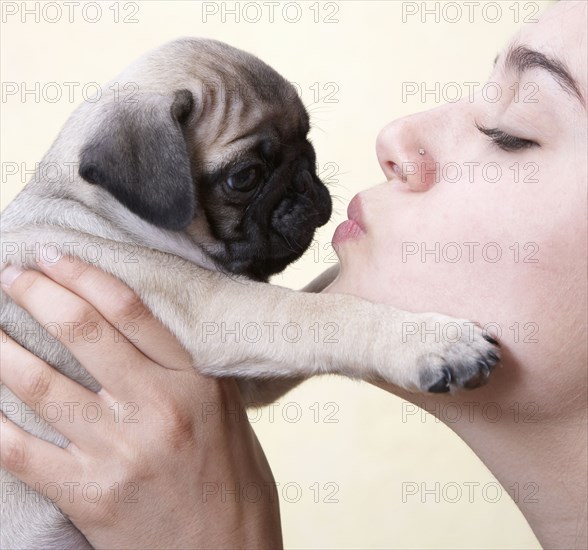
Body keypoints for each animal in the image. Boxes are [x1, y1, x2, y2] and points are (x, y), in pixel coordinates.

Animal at [0, 40, 500, 550]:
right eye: (245, 177)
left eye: (306, 137)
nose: (305, 178)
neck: (100, 212)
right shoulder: (221, 312)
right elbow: (325, 311)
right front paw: (429, 340)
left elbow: (325, 289)